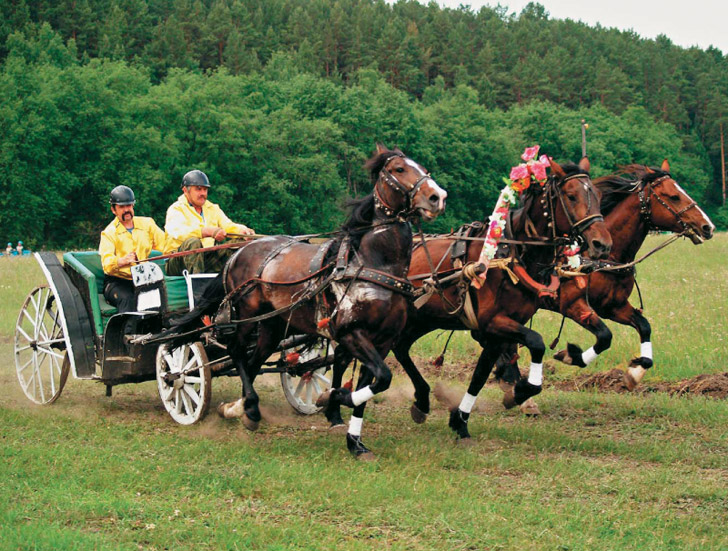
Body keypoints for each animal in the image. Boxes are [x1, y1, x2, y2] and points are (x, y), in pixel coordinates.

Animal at [216, 144, 446, 460]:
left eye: (423, 167)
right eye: (399, 169)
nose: (438, 197)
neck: (374, 264)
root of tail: (239, 252)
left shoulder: (382, 340)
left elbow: (372, 384)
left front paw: (355, 441)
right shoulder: (351, 333)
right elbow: (380, 378)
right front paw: (331, 398)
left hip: (272, 326)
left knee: (252, 362)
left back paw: (242, 407)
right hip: (246, 317)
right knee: (237, 352)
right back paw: (247, 406)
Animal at [324, 157, 616, 442]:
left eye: (598, 194)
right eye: (571, 195)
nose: (602, 244)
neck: (510, 255)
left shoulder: (500, 330)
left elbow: (480, 376)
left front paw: (460, 421)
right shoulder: (493, 322)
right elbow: (536, 342)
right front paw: (521, 391)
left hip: (419, 319)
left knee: (399, 347)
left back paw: (421, 399)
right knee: (344, 355)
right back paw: (335, 410)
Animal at [498, 160, 712, 392]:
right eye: (673, 196)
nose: (707, 226)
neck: (606, 258)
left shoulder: (613, 306)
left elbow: (644, 326)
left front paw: (636, 372)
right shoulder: (572, 304)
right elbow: (605, 336)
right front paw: (571, 356)